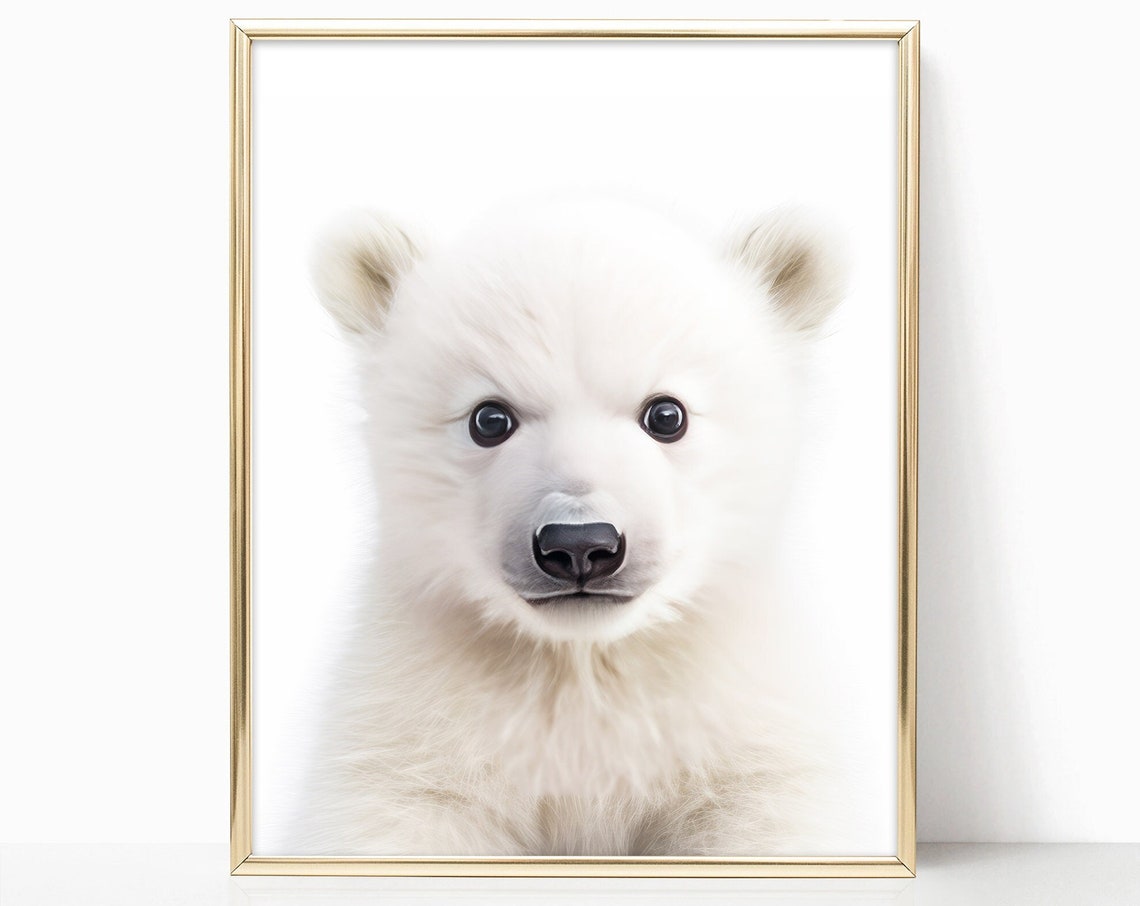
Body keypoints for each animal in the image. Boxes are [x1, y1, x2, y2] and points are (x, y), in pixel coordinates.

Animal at [290, 197, 847, 857]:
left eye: (667, 414)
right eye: (489, 418)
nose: (580, 544)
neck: (582, 662)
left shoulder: (746, 725)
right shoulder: (408, 726)